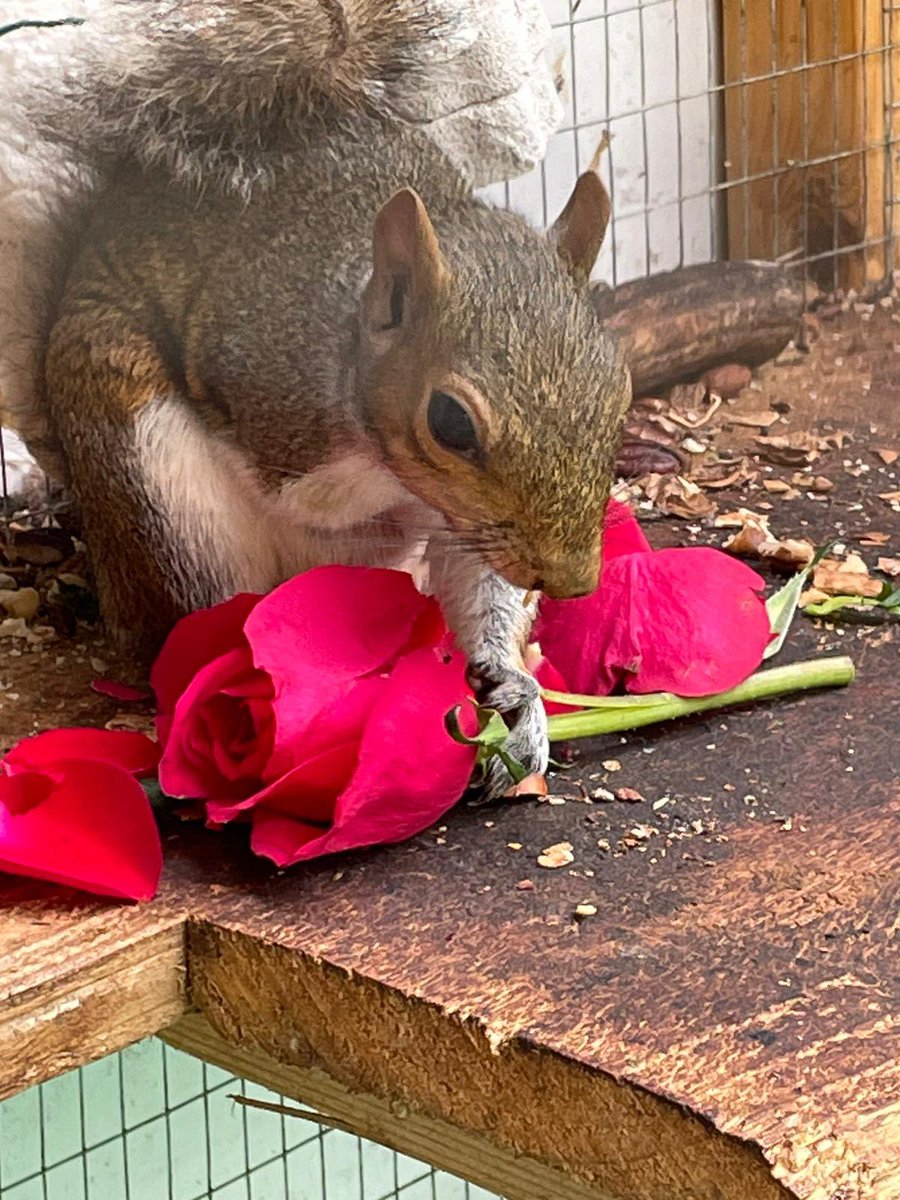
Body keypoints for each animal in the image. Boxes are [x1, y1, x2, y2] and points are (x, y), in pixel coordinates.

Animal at [16, 2, 631, 795]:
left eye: (619, 385)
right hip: (153, 491)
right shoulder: (267, 401)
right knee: (188, 623)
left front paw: (512, 691)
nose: (573, 581)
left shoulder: (469, 522)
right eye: (450, 422)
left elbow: (475, 578)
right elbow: (315, 498)